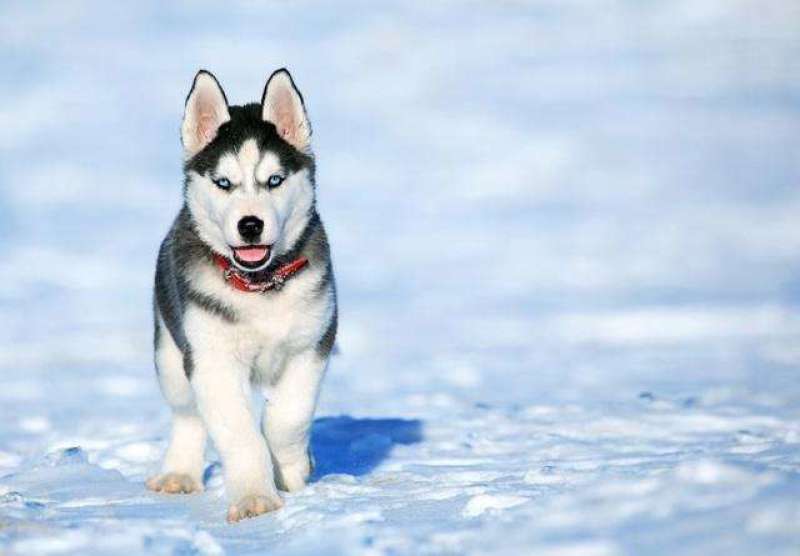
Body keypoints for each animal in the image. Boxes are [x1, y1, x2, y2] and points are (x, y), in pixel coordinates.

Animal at [148, 68, 338, 520]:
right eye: (223, 183)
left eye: (274, 180)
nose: (250, 225)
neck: (259, 287)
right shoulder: (211, 359)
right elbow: (238, 432)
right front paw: (255, 496)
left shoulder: (312, 344)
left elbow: (288, 417)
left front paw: (291, 468)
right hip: (170, 353)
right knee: (187, 415)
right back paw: (179, 473)